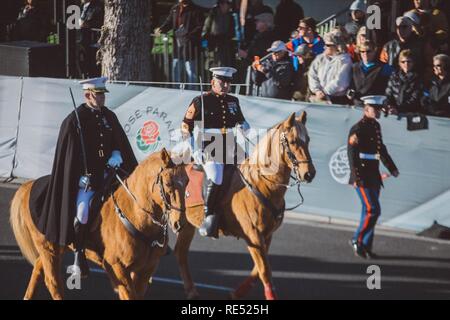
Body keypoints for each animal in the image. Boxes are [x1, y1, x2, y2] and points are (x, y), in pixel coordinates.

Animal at [8, 149, 188, 300]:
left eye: (187, 182)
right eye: (168, 184)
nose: (178, 223)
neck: (135, 215)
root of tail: (30, 185)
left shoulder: (145, 270)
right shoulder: (117, 267)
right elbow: (129, 295)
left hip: (56, 247)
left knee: (39, 267)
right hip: (48, 247)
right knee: (53, 282)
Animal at [172, 112, 316, 300]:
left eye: (308, 140)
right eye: (292, 141)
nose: (309, 174)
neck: (261, 184)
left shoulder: (266, 235)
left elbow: (258, 271)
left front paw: (237, 293)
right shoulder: (253, 235)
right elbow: (265, 271)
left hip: (188, 224)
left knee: (180, 253)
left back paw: (191, 290)